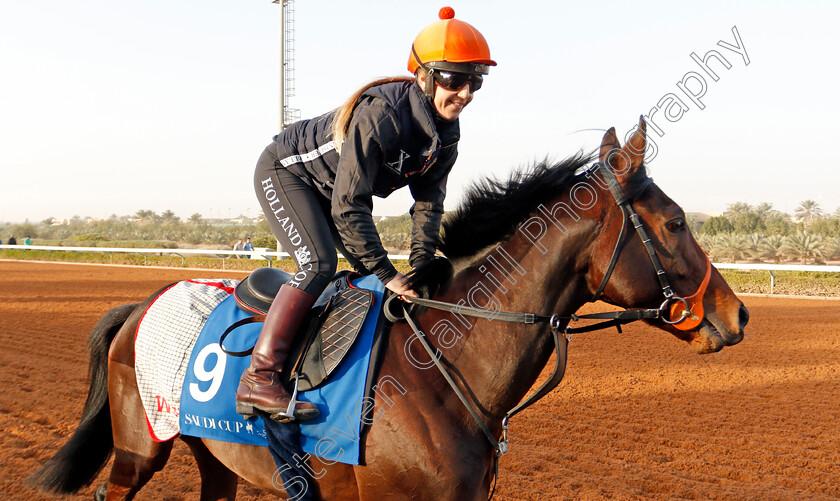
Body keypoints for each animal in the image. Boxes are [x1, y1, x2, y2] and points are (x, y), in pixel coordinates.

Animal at [32, 119, 748, 498]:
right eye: (677, 222)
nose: (738, 314)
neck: (446, 370)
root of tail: (140, 303)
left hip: (218, 454)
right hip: (139, 448)